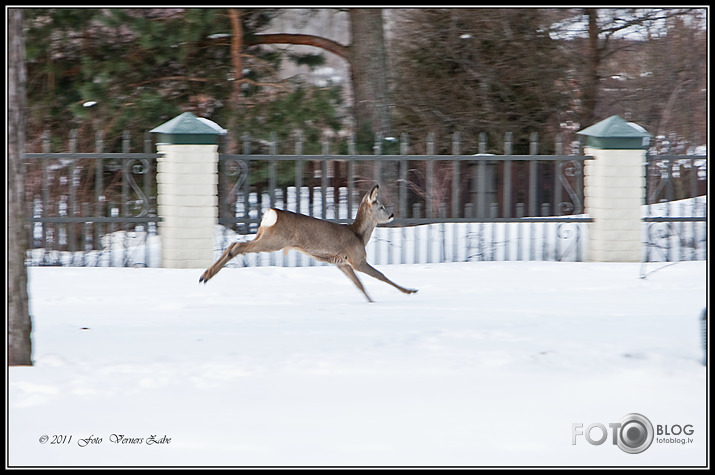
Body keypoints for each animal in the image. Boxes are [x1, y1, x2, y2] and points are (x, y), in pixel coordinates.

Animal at [199, 184, 416, 304]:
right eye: (381, 206)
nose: (392, 214)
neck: (359, 235)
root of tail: (271, 213)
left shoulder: (342, 263)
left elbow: (359, 284)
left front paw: (371, 301)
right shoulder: (357, 259)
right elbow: (381, 276)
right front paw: (410, 291)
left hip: (263, 236)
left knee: (232, 244)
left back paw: (204, 276)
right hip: (273, 241)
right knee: (237, 246)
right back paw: (206, 276)